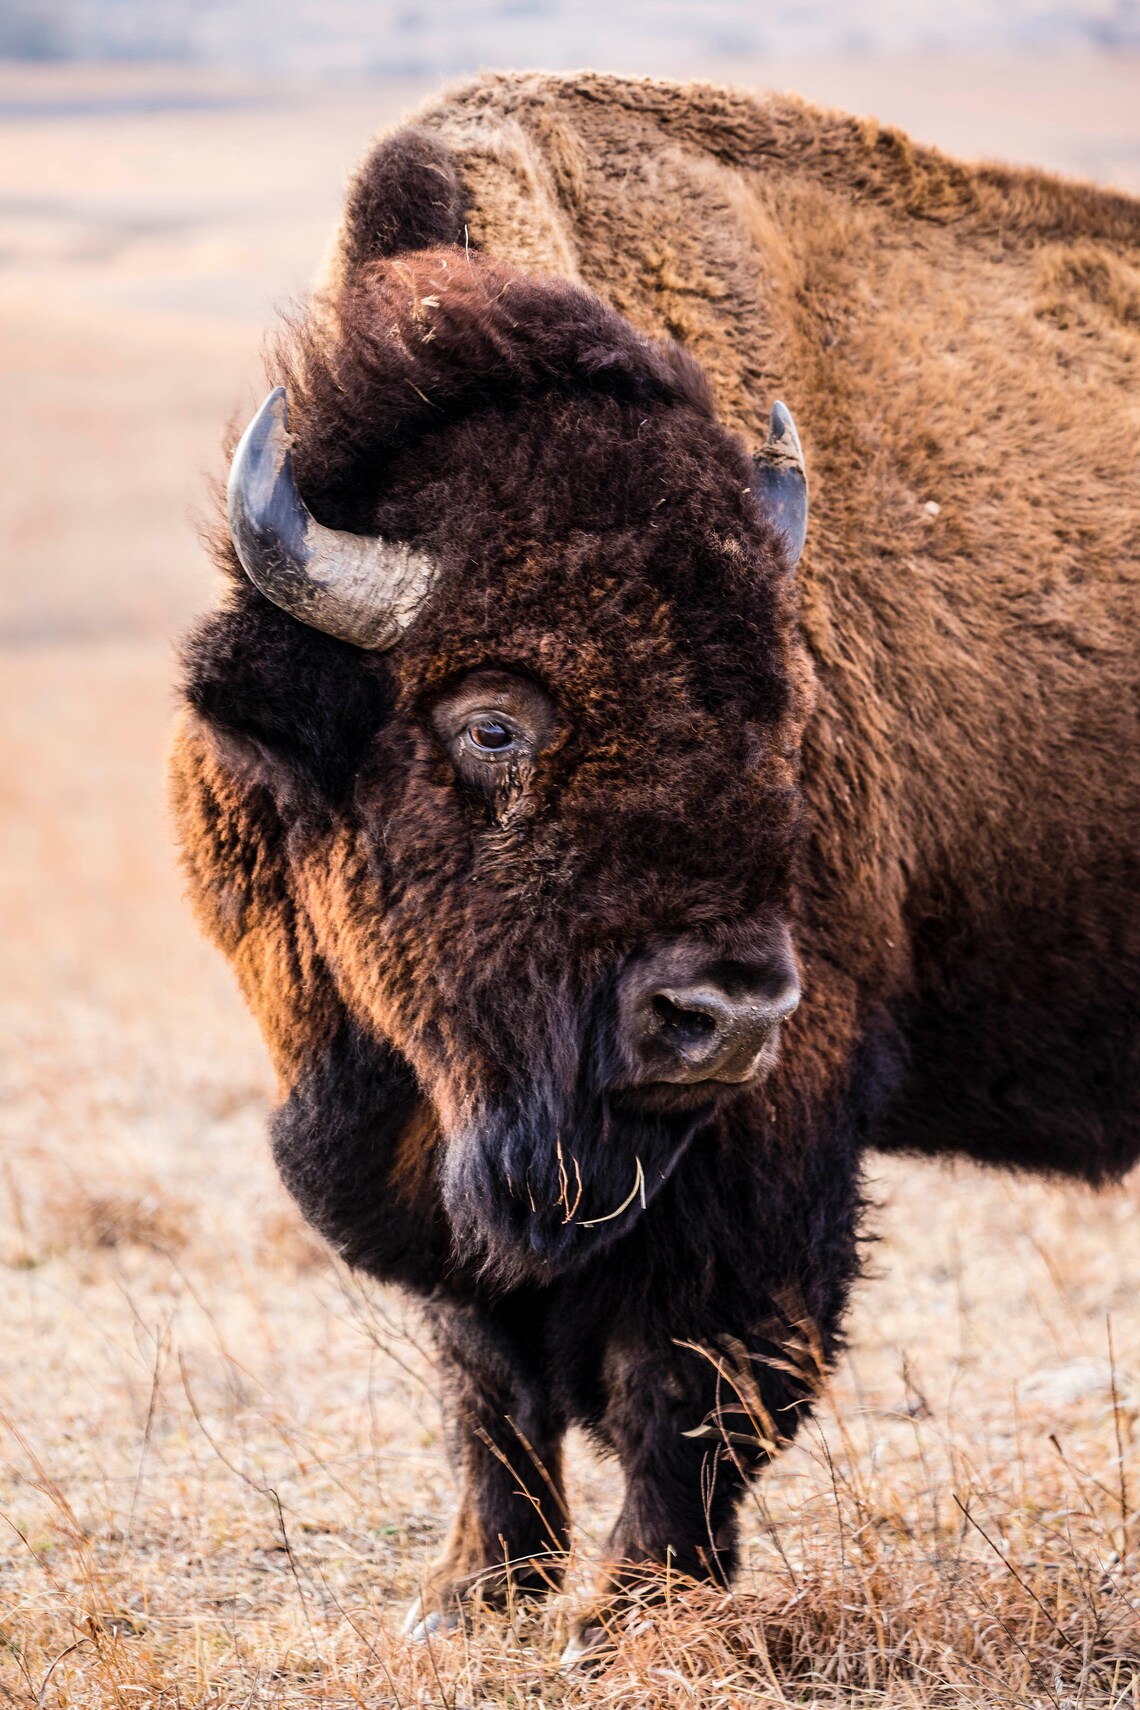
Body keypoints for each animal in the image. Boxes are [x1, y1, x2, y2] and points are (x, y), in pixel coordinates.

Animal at [171, 73, 1140, 1648]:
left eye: (788, 714)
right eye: (491, 720)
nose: (719, 1012)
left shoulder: (767, 1139)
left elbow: (689, 1379)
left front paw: (633, 1609)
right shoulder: (421, 1125)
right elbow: (485, 1379)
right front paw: (474, 1595)